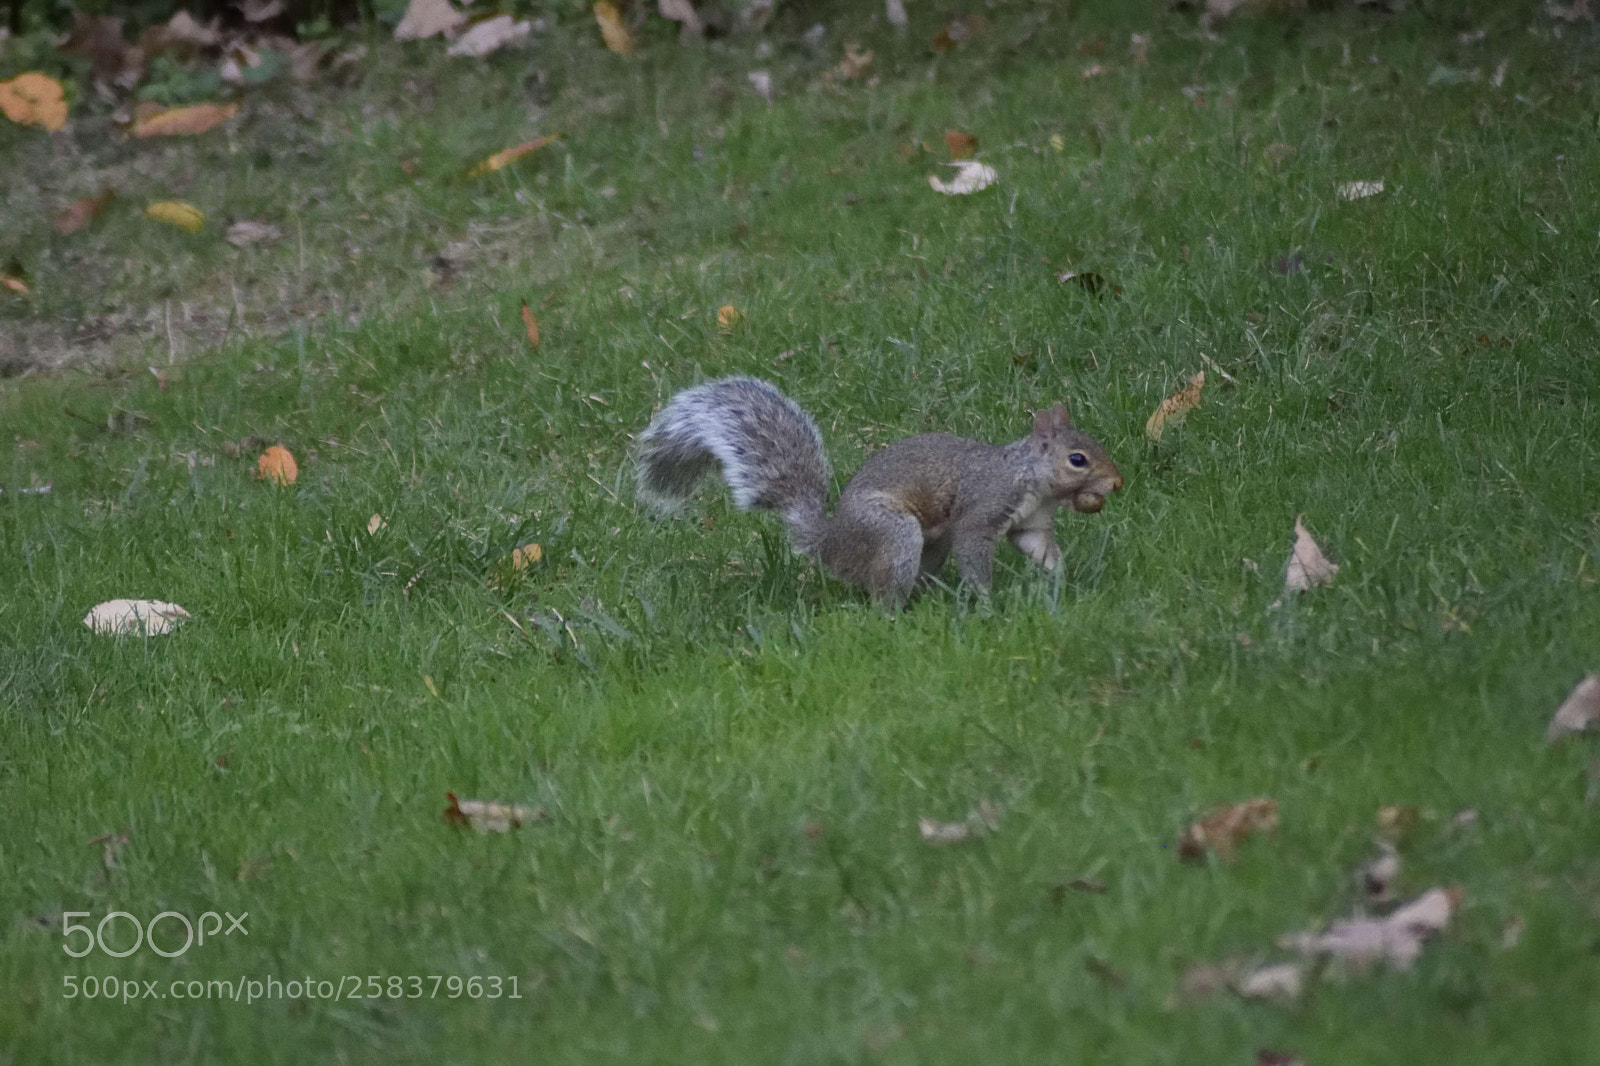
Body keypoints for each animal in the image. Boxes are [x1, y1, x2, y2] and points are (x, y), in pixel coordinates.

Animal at [633, 377, 1124, 607]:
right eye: (1077, 459)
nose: (1116, 482)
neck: (1031, 479)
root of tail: (831, 545)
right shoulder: (983, 508)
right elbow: (974, 550)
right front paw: (988, 602)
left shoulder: (1031, 524)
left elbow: (1040, 549)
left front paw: (1062, 580)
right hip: (893, 533)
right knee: (884, 592)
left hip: (927, 545)